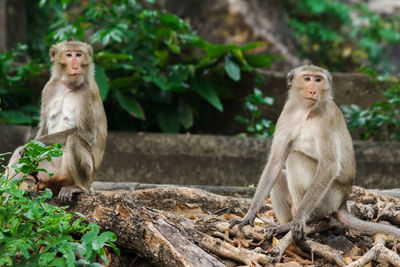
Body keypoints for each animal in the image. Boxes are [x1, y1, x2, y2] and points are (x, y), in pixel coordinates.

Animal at [8, 39, 108, 202]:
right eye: (69, 55)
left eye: (78, 55)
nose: (75, 65)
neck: (68, 86)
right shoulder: (48, 87)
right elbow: (43, 129)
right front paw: (31, 147)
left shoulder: (89, 91)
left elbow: (86, 133)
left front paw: (33, 144)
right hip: (47, 175)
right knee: (19, 154)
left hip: (79, 176)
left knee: (74, 139)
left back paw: (79, 187)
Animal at [230, 65, 400, 243]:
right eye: (307, 78)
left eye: (318, 80)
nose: (313, 90)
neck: (306, 111)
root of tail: (343, 202)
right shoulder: (287, 114)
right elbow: (276, 161)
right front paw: (249, 216)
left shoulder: (326, 119)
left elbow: (329, 165)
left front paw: (299, 220)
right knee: (280, 177)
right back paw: (286, 224)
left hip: (328, 198)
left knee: (295, 158)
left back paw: (303, 219)